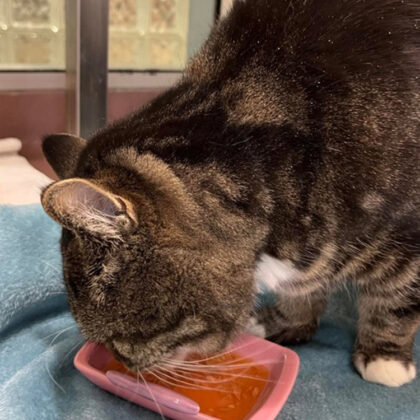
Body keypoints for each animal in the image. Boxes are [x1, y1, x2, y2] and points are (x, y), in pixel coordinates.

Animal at [41, 0, 418, 388]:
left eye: (121, 338)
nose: (123, 362)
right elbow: (303, 286)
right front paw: (281, 321)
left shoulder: (406, 237)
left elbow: (397, 299)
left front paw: (384, 357)